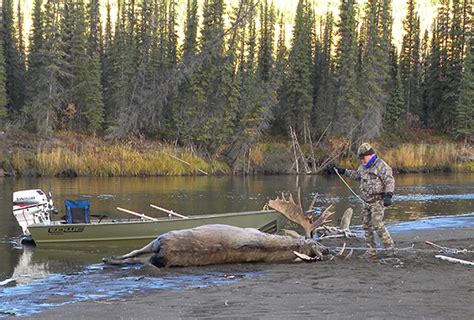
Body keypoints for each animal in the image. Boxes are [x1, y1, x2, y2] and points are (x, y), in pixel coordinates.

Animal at [104, 192, 356, 268]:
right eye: (317, 244)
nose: (329, 251)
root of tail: (161, 251)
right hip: (157, 241)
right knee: (132, 255)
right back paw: (109, 259)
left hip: (158, 240)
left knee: (133, 255)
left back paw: (110, 259)